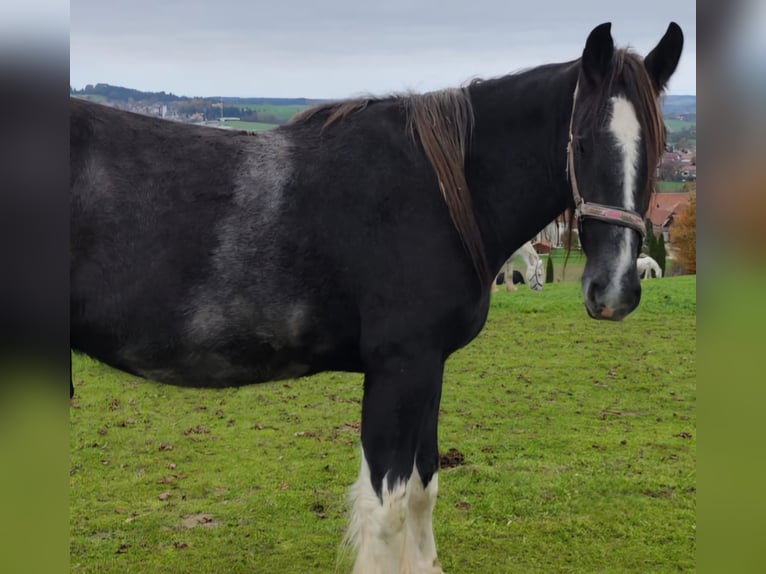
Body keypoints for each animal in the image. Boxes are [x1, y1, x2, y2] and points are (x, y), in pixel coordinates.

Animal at [72, 21, 684, 572]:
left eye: (658, 147)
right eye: (582, 140)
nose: (615, 289)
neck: (441, 192)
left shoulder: (429, 368)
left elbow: (423, 488)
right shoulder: (398, 369)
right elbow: (386, 508)